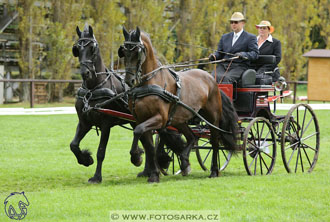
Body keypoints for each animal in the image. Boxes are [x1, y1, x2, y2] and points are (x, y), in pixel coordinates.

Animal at [120, 26, 238, 182]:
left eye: (137, 52)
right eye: (124, 52)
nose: (129, 81)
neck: (150, 83)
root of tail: (211, 78)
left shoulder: (159, 118)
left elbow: (138, 131)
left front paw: (136, 157)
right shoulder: (141, 119)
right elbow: (149, 146)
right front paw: (154, 174)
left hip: (212, 118)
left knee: (214, 141)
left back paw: (213, 170)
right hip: (179, 120)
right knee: (192, 137)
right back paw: (184, 162)